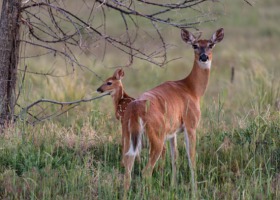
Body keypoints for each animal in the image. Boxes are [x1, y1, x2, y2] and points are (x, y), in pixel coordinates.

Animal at [121, 27, 224, 191]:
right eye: (195, 45)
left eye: (211, 44)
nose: (204, 57)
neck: (191, 90)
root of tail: (135, 110)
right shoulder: (190, 124)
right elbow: (191, 158)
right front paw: (194, 189)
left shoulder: (173, 132)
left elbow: (175, 157)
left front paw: (173, 185)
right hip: (157, 135)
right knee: (146, 171)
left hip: (127, 134)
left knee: (127, 167)